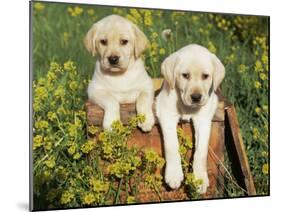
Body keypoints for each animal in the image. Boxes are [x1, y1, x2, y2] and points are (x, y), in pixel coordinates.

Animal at [156, 44, 224, 194]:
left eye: (205, 76)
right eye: (185, 75)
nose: (196, 97)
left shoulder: (203, 120)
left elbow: (201, 151)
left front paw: (200, 179)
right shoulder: (166, 113)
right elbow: (172, 145)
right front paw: (174, 174)